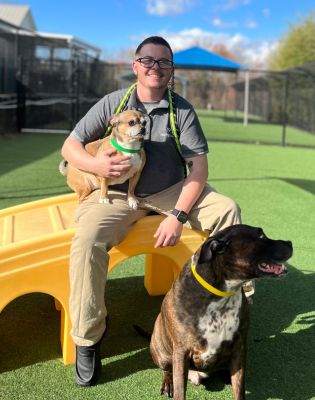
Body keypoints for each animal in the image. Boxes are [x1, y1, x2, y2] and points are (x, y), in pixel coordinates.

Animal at [151, 225, 294, 400]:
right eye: (261, 236)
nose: (290, 242)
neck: (222, 296)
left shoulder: (239, 348)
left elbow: (239, 388)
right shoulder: (181, 353)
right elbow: (180, 391)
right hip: (162, 353)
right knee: (167, 369)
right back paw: (167, 383)